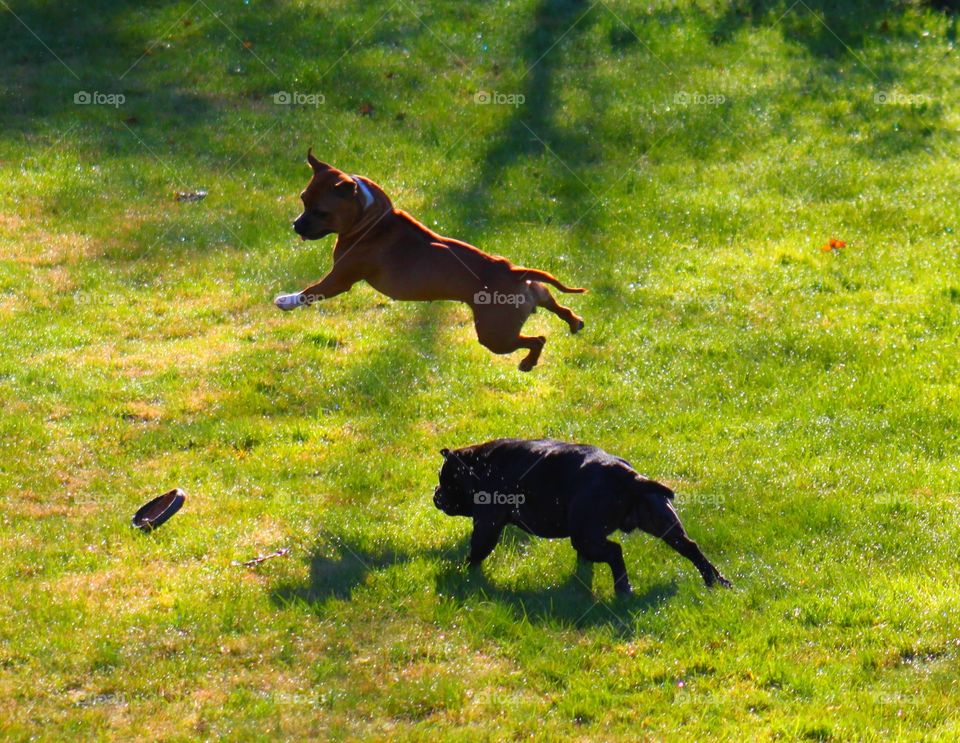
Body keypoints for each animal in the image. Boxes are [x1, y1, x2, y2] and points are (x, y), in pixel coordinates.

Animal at [272, 152, 584, 372]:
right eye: (303, 199)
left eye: (321, 212)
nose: (296, 226)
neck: (372, 217)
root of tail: (513, 271)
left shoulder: (339, 279)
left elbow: (311, 291)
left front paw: (287, 300)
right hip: (534, 295)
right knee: (559, 306)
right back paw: (574, 322)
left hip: (495, 335)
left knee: (538, 339)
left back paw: (529, 362)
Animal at [432, 438, 732, 596]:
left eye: (444, 480)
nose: (435, 494)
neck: (478, 464)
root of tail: (627, 476)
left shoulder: (487, 524)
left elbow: (476, 552)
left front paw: (462, 572)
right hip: (663, 523)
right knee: (691, 547)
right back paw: (715, 581)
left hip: (585, 536)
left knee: (614, 552)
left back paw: (623, 589)